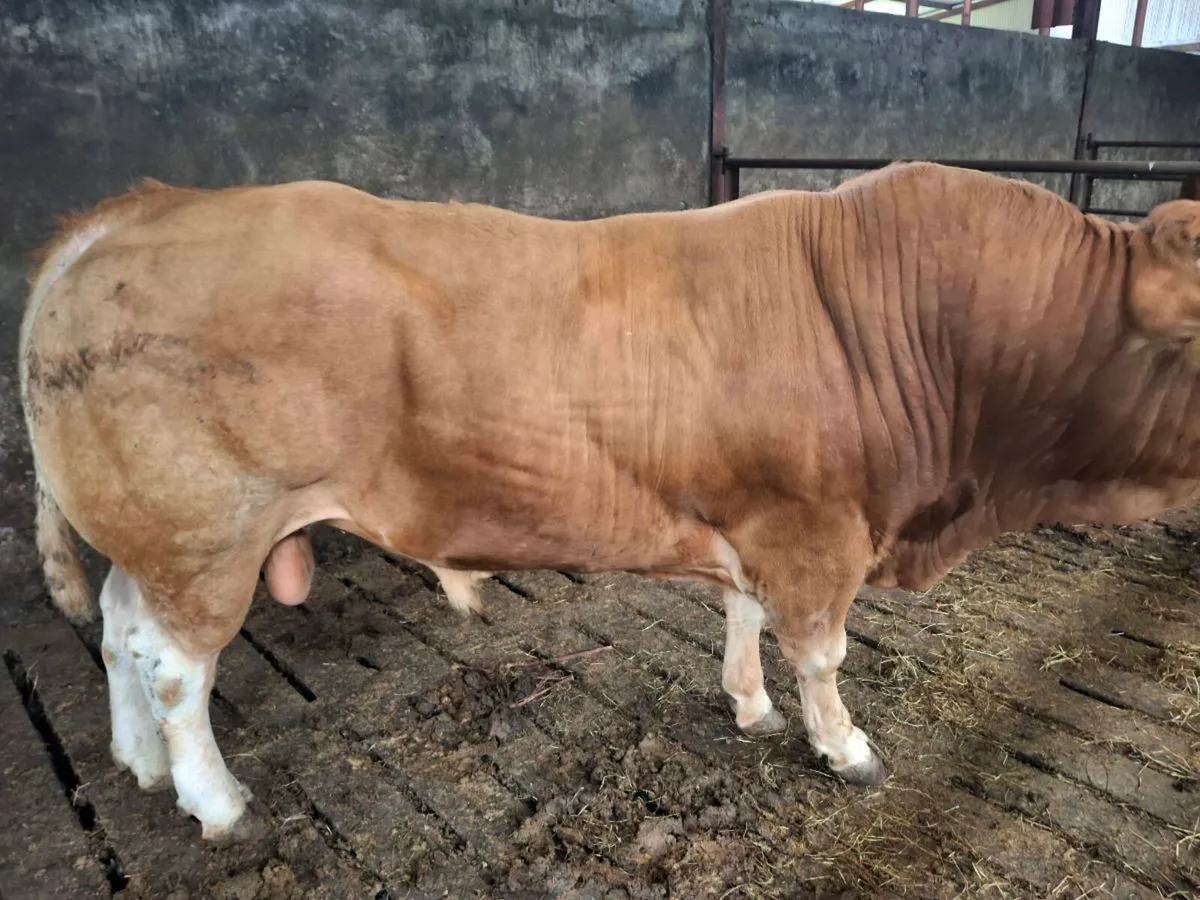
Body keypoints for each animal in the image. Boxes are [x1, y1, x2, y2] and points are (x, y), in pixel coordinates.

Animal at [19, 162, 1200, 843]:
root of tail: (127, 216)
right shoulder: (819, 531)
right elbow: (820, 653)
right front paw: (845, 746)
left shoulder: (760, 519)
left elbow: (744, 616)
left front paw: (750, 706)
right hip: (204, 537)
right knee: (178, 669)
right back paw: (215, 803)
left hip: (151, 542)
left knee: (120, 632)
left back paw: (137, 762)